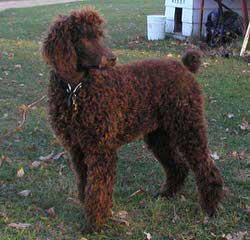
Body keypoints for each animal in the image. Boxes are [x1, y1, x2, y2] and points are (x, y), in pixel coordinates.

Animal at [42, 6, 224, 233]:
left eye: (99, 35)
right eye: (83, 37)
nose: (112, 58)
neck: (75, 90)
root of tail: (184, 66)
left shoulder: (101, 150)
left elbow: (97, 190)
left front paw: (95, 224)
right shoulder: (77, 149)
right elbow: (86, 186)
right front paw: (88, 214)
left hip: (187, 125)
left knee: (205, 166)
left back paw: (210, 207)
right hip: (159, 135)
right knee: (178, 166)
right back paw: (167, 194)